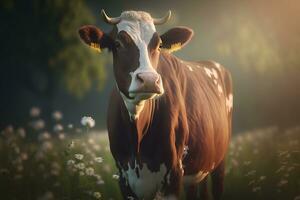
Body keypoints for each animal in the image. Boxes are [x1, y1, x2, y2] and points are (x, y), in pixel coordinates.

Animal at [78, 9, 233, 200]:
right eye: (118, 43)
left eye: (158, 44)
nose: (149, 79)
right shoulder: (123, 178)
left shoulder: (174, 174)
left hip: (219, 161)